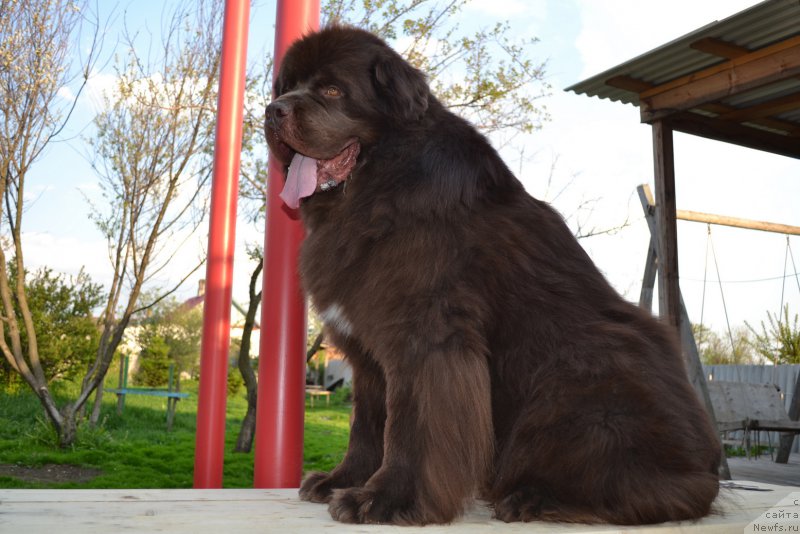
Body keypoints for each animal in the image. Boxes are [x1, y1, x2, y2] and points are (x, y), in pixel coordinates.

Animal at [262, 26, 720, 528]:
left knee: (647, 488)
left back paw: (532, 497)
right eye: (288, 86)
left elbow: (409, 425)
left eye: (331, 89)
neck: (376, 186)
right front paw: (342, 480)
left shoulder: (426, 339)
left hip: (585, 373)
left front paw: (387, 499)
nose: (274, 109)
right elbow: (367, 423)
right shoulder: (368, 353)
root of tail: (706, 467)